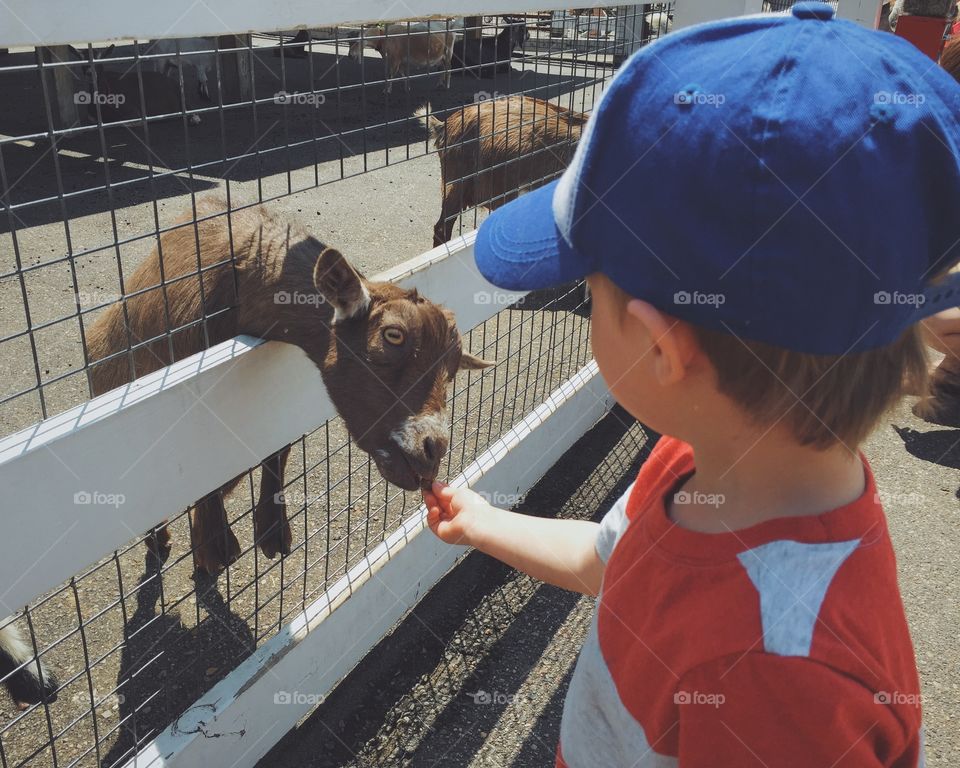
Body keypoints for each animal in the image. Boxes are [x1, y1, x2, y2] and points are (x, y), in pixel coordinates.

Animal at [84, 198, 488, 576]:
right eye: (393, 334)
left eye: (452, 371)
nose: (433, 449)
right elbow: (206, 471)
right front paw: (215, 544)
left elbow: (278, 449)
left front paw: (272, 530)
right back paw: (161, 540)